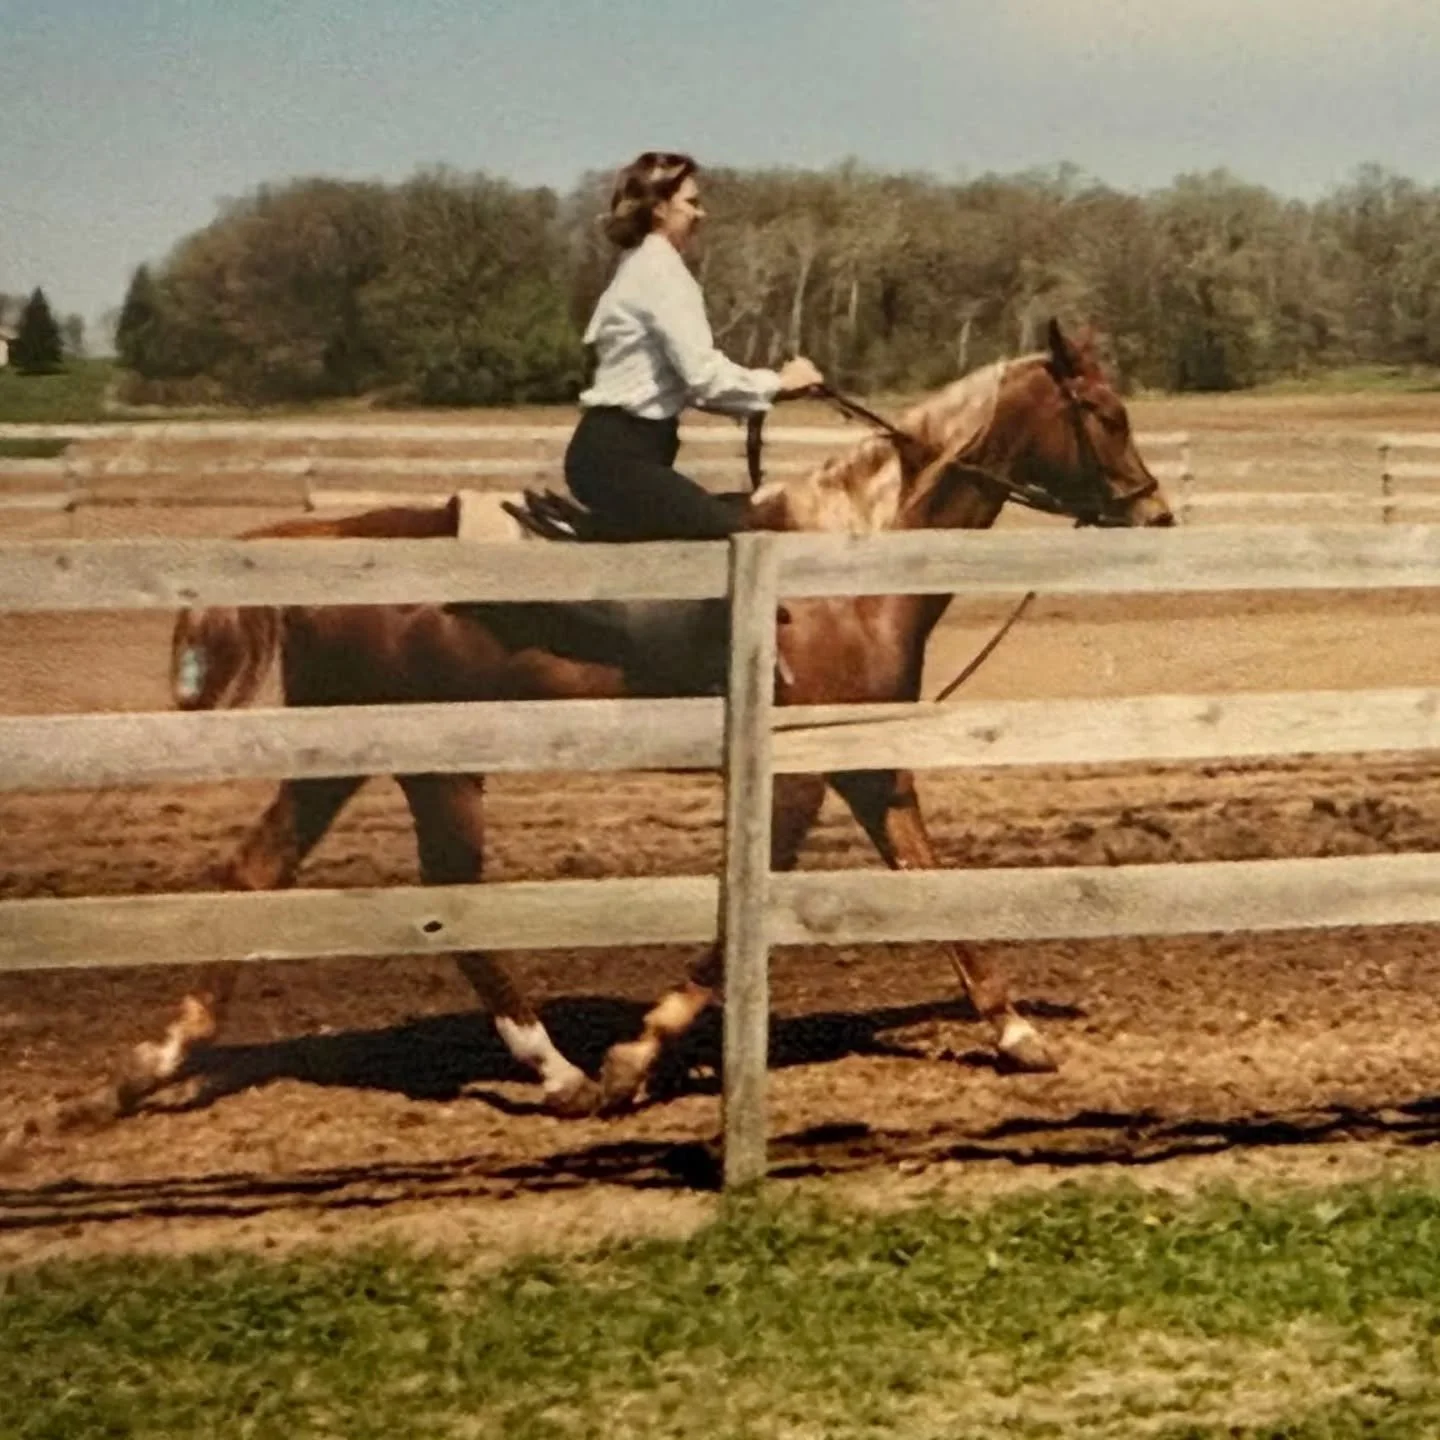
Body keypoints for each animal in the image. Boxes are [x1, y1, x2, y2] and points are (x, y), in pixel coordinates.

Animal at [105, 319, 1172, 1126]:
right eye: (1106, 412)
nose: (1155, 513)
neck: (844, 565)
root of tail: (325, 537)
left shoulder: (867, 764)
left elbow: (930, 879)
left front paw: (1018, 1032)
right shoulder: (798, 771)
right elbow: (736, 925)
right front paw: (634, 1059)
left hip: (342, 759)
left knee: (257, 874)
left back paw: (155, 1061)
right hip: (436, 769)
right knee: (450, 908)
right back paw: (559, 1072)